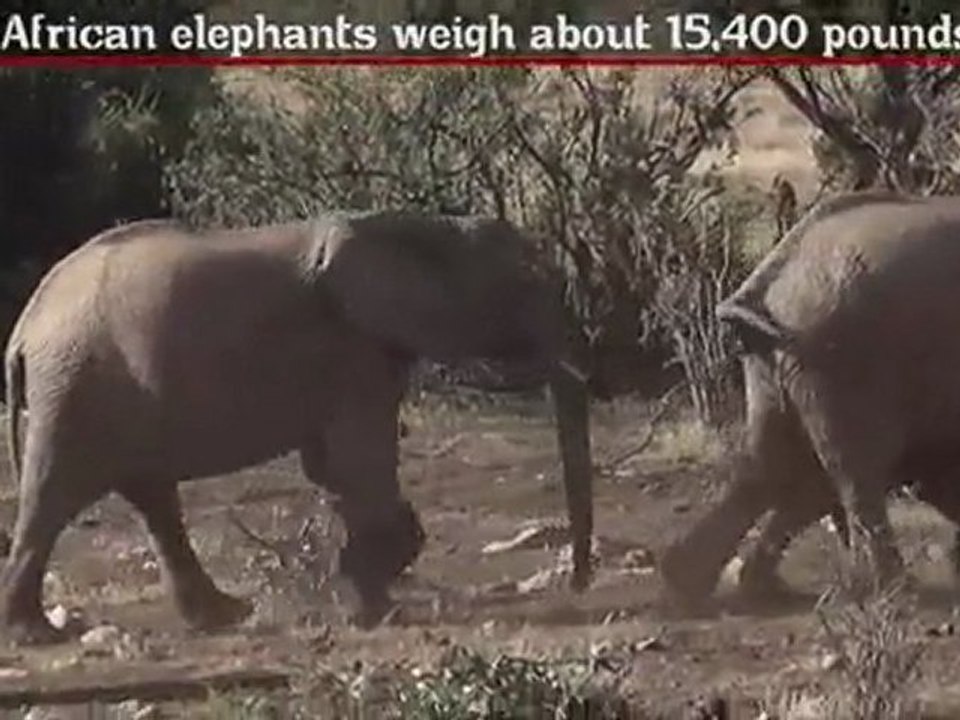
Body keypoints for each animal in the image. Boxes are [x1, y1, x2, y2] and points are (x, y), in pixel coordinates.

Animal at [0, 211, 594, 645]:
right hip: (76, 387)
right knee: (54, 497)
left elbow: (333, 467)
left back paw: (223, 615)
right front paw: (375, 606)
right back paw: (37, 634)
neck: (424, 228)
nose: (578, 583)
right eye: (526, 288)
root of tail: (23, 330)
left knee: (152, 500)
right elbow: (360, 457)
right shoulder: (353, 351)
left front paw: (363, 592)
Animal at [660, 190, 960, 603]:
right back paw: (895, 590)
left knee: (771, 464)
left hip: (775, 360)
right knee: (854, 471)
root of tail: (771, 280)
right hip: (843, 352)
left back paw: (704, 587)